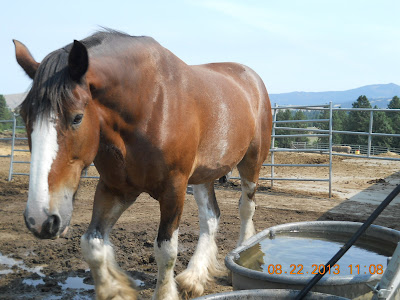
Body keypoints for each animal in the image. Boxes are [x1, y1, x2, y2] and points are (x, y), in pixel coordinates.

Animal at [14, 28, 272, 300]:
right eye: (24, 116)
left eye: (77, 117)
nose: (40, 219)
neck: (149, 103)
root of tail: (251, 77)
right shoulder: (115, 188)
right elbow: (92, 243)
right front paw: (116, 290)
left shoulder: (174, 188)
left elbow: (166, 250)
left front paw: (164, 293)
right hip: (204, 175)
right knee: (210, 217)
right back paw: (194, 278)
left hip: (251, 164)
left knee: (246, 208)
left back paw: (243, 256)